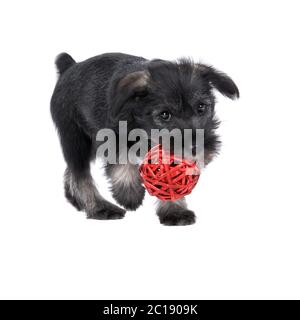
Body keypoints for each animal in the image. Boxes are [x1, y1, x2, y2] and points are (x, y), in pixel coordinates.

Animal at [51, 52, 239, 226]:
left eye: (201, 107)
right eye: (165, 114)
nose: (195, 147)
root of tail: (70, 67)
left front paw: (175, 211)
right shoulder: (113, 137)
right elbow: (122, 163)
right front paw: (130, 194)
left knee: (72, 171)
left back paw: (76, 200)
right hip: (75, 139)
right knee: (80, 175)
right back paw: (100, 208)